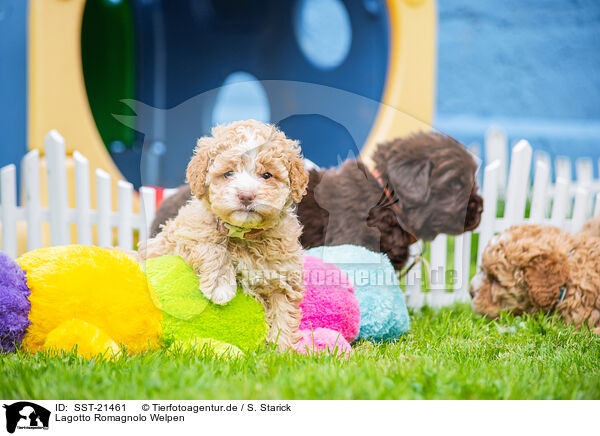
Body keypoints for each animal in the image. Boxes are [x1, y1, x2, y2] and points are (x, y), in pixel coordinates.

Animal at [139, 119, 310, 350]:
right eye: (228, 173)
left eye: (267, 175)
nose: (246, 196)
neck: (244, 234)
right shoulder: (187, 233)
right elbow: (211, 246)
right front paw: (221, 287)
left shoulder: (282, 277)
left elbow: (282, 315)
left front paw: (280, 351)